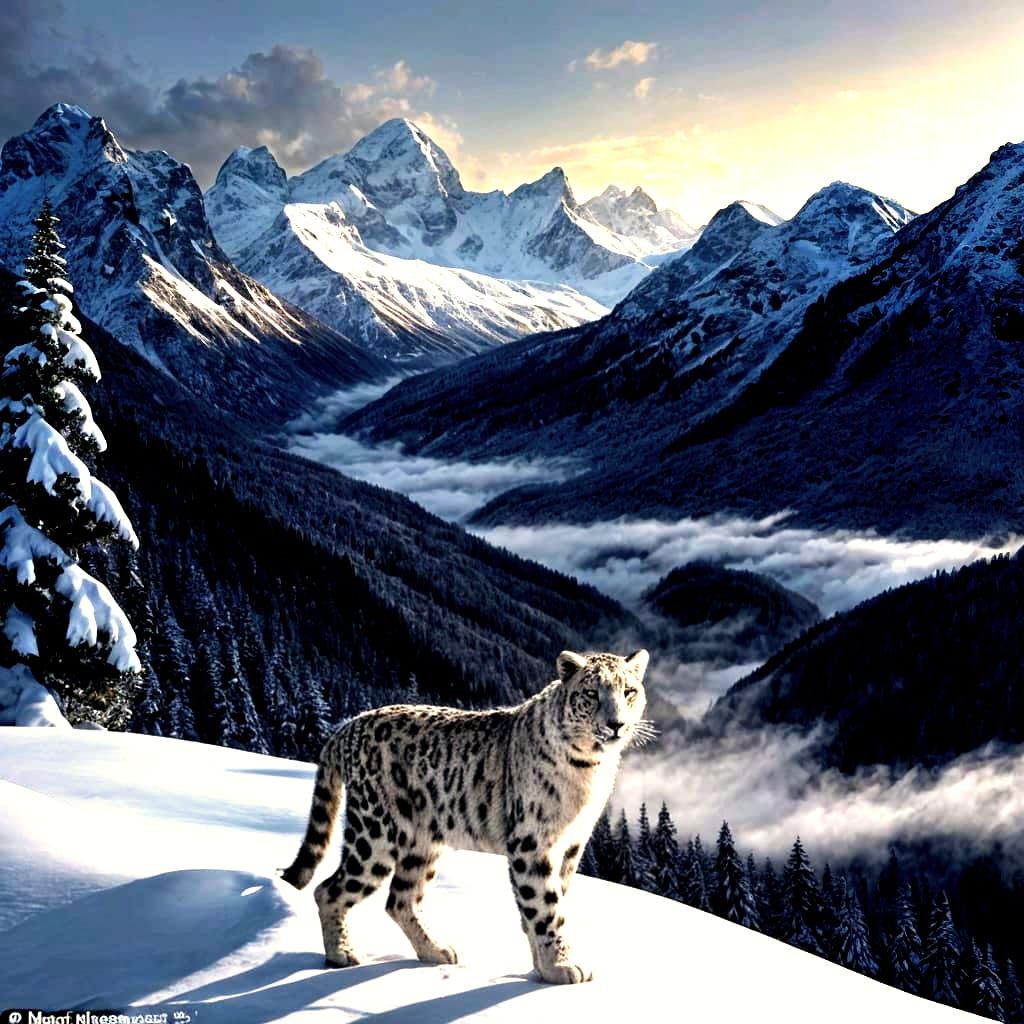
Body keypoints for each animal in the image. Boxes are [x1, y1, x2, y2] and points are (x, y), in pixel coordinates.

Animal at [281, 648, 652, 984]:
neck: (590, 771)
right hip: (375, 836)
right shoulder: (534, 842)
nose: (616, 725)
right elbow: (545, 907)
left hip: (422, 844)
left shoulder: (572, 843)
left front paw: (540, 967)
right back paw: (342, 955)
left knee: (401, 899)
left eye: (629, 691)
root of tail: (347, 727)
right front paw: (561, 967)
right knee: (330, 889)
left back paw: (437, 951)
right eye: (591, 693)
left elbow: (550, 899)